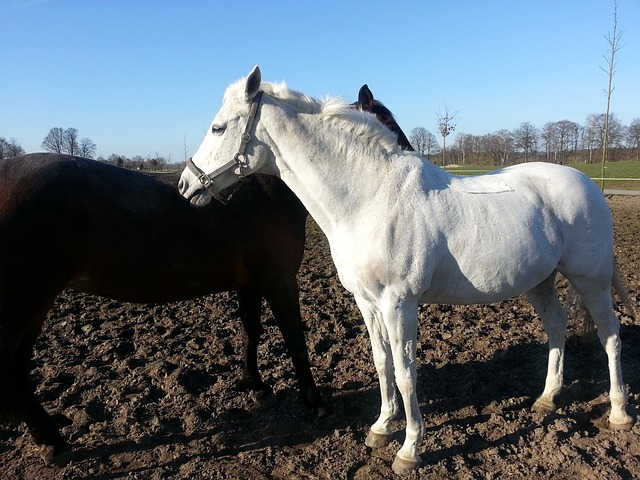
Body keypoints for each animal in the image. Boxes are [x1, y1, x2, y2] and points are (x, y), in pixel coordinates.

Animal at [0, 86, 412, 464]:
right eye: (386, 123)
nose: (411, 164)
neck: (263, 185)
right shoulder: (279, 279)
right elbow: (294, 338)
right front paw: (315, 402)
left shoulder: (249, 283)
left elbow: (251, 330)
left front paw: (254, 385)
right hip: (24, 302)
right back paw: (50, 439)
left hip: (36, 304)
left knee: (16, 370)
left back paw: (49, 438)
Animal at [178, 65, 632, 474]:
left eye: (218, 128)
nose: (186, 185)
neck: (370, 198)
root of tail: (586, 183)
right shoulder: (367, 302)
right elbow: (382, 363)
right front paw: (381, 427)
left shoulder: (399, 303)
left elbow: (406, 372)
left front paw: (410, 449)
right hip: (539, 281)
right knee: (557, 328)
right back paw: (547, 398)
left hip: (591, 281)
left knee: (610, 337)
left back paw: (619, 412)